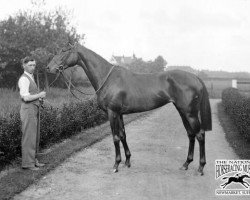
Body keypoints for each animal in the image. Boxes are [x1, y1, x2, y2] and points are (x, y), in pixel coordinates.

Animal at [46, 42, 211, 175]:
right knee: (191, 134)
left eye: (64, 51)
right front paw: (127, 161)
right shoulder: (119, 114)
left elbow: (115, 137)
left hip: (190, 113)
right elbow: (123, 135)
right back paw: (186, 164)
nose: (48, 67)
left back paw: (201, 168)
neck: (107, 78)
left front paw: (116, 165)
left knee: (200, 135)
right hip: (182, 111)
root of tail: (195, 78)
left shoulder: (112, 113)